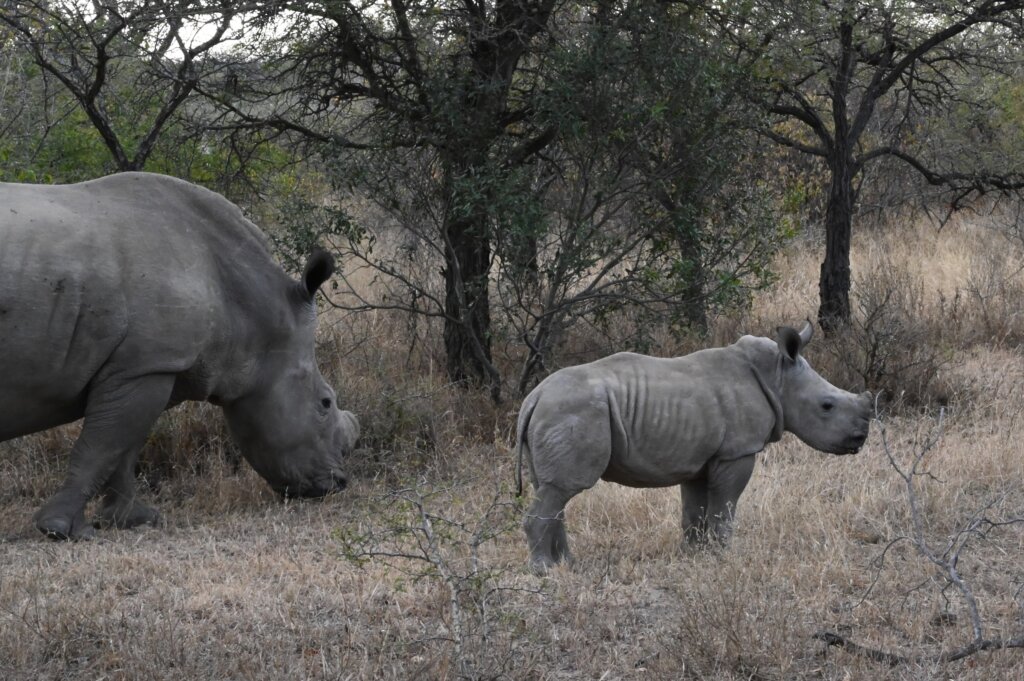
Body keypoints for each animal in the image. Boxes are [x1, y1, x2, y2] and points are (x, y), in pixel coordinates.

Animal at [0, 173, 360, 540]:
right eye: (325, 403)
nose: (338, 484)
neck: (250, 312)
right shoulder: (145, 365)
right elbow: (101, 447)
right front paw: (61, 530)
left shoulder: (152, 366)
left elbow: (124, 447)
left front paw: (134, 519)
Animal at [516, 321, 868, 569]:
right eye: (827, 406)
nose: (860, 439)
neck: (778, 376)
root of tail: (533, 398)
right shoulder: (736, 452)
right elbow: (725, 505)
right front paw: (724, 554)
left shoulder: (699, 457)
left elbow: (694, 511)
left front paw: (693, 554)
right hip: (572, 412)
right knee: (563, 487)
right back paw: (543, 570)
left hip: (556, 413)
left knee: (553, 488)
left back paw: (566, 565)